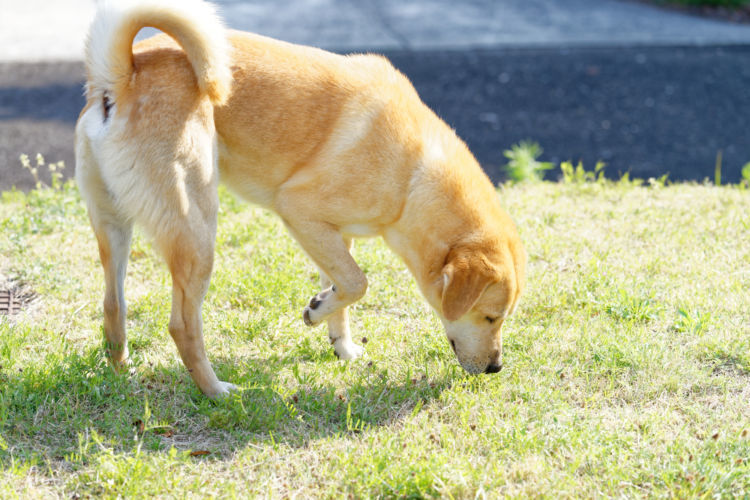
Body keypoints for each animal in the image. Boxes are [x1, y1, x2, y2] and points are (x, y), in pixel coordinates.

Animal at [75, 0, 524, 398]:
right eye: (490, 316)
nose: (496, 367)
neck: (414, 173)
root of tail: (122, 76)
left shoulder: (335, 234)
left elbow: (343, 290)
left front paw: (338, 340)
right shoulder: (299, 212)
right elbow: (358, 283)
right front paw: (317, 311)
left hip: (115, 228)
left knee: (113, 306)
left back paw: (122, 372)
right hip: (197, 233)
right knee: (182, 326)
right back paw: (216, 391)